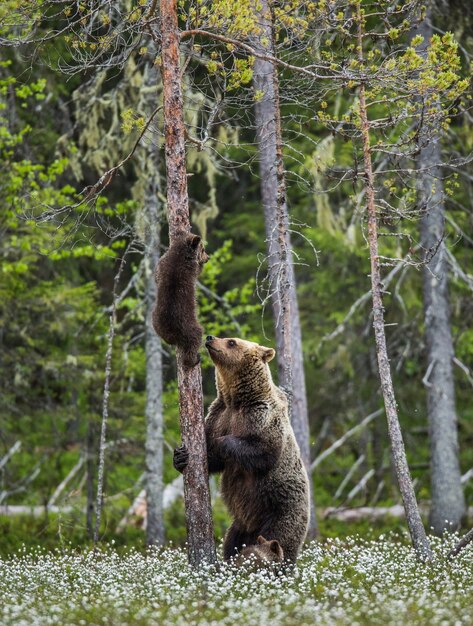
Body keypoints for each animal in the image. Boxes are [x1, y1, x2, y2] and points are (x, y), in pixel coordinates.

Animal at [173, 336, 310, 560]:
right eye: (227, 338)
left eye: (232, 342)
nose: (210, 338)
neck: (236, 400)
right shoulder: (219, 415)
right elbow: (211, 459)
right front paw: (181, 456)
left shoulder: (261, 416)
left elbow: (263, 451)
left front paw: (220, 443)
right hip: (240, 526)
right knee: (232, 544)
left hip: (281, 511)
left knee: (280, 540)